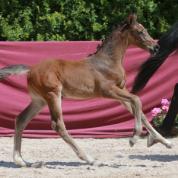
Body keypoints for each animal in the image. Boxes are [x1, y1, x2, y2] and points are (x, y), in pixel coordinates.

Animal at [0, 13, 172, 167]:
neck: (107, 62)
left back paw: (21, 161)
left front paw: (163, 141)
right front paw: (133, 138)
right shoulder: (108, 91)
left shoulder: (121, 92)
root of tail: (30, 70)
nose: (156, 47)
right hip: (53, 95)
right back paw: (90, 159)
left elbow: (140, 111)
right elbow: (137, 100)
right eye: (140, 31)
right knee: (58, 125)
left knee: (21, 119)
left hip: (39, 101)